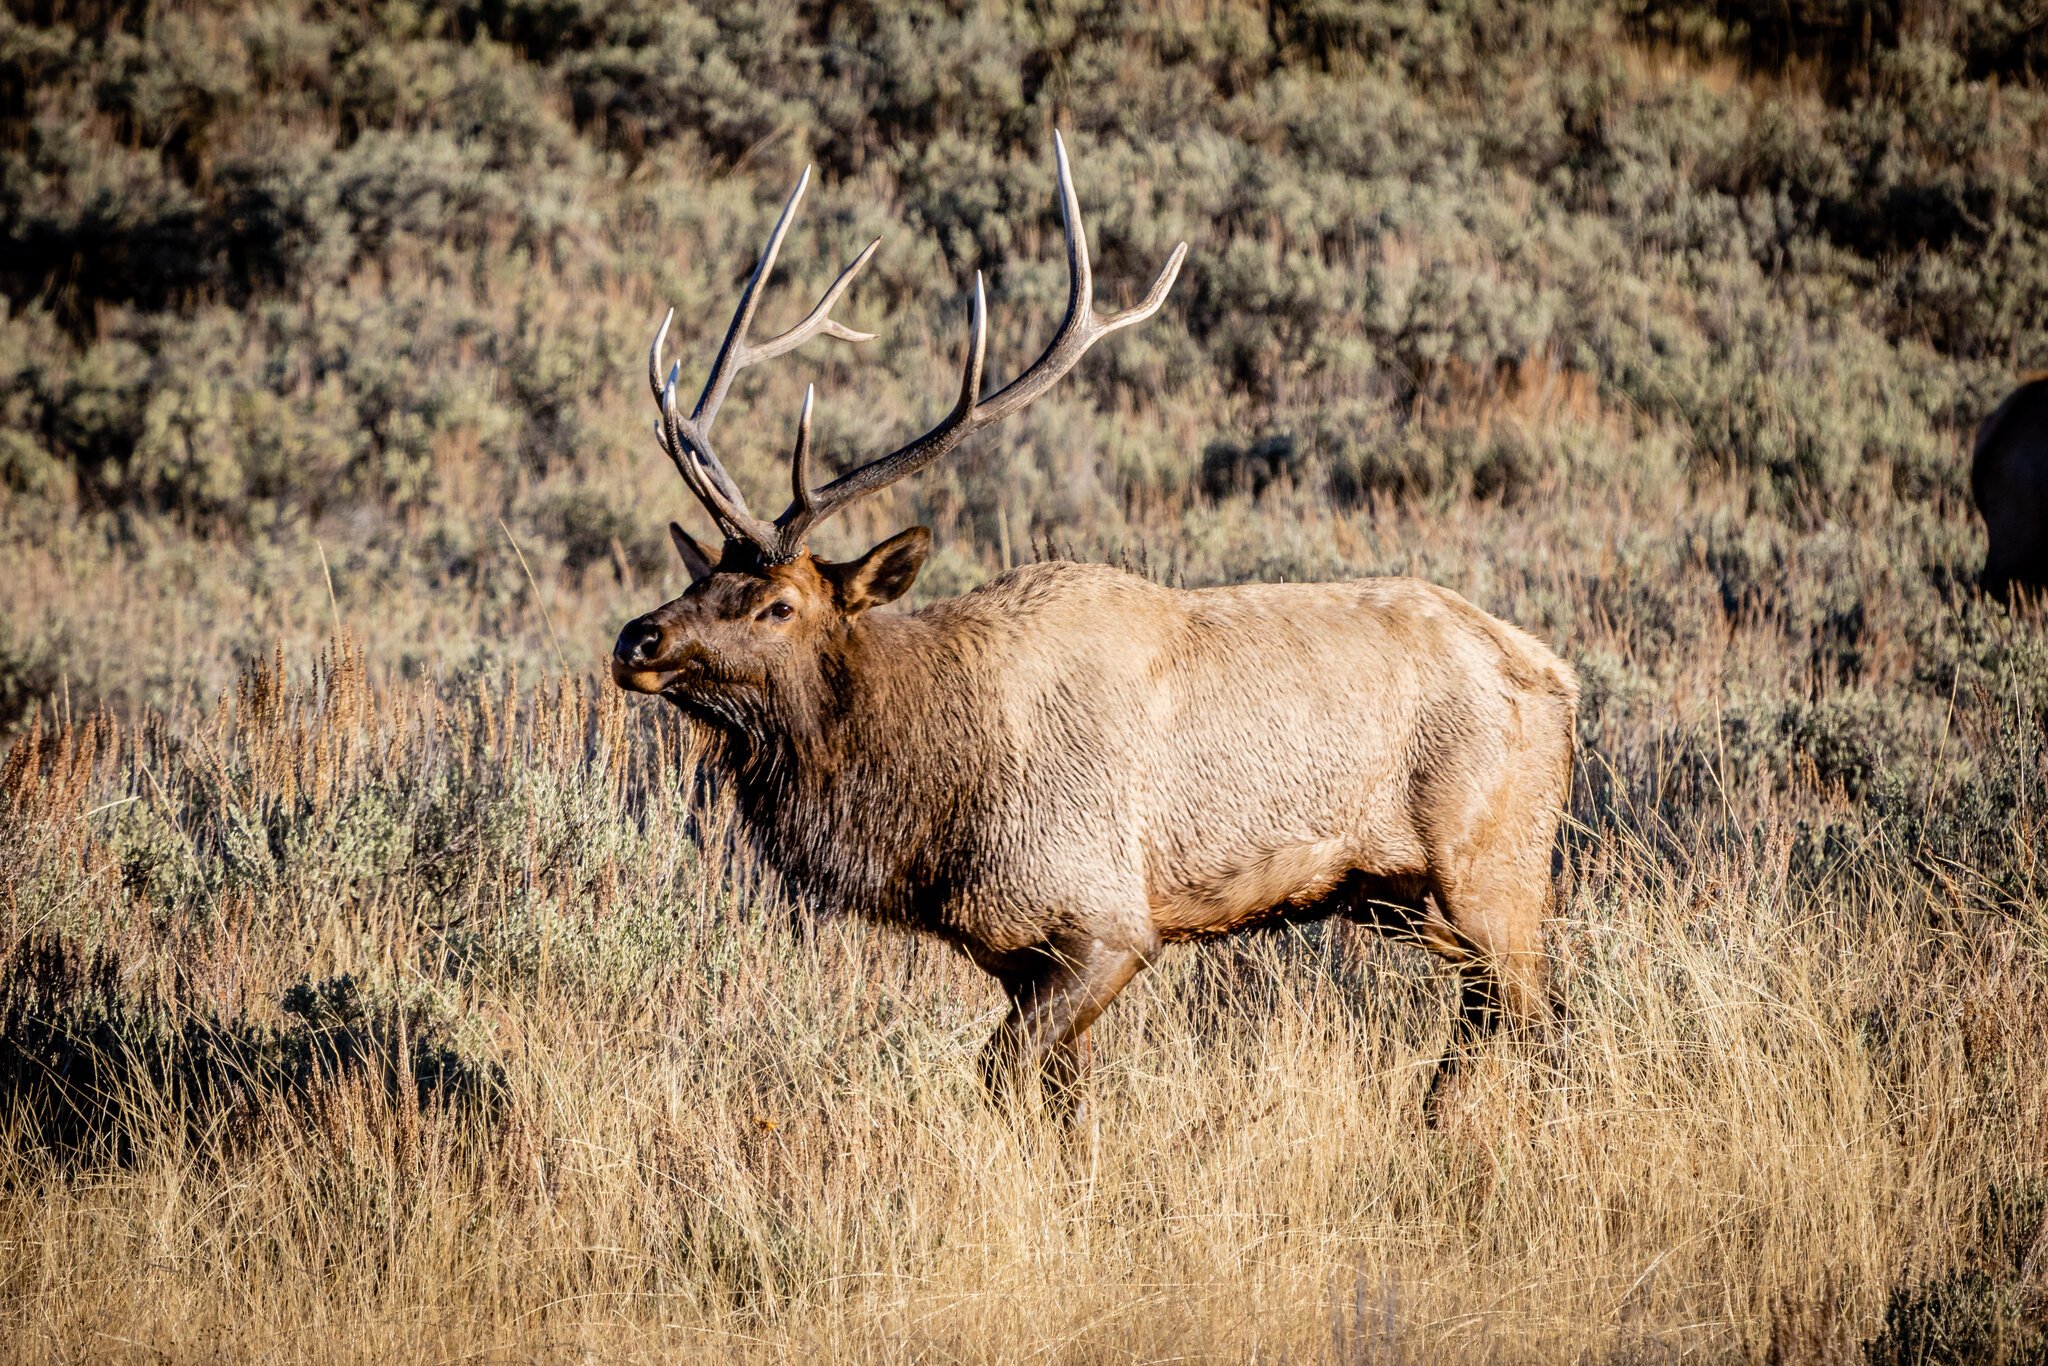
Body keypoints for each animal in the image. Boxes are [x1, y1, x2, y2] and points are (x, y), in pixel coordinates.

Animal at [610, 139, 1581, 1114]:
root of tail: (1559, 677)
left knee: (1536, 1016)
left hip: (1493, 865)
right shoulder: (1015, 947)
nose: (637, 640)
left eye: (780, 604)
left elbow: (1002, 1075)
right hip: (1407, 895)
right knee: (1499, 1012)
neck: (932, 804)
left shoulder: (1108, 920)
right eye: (700, 576)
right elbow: (1065, 1101)